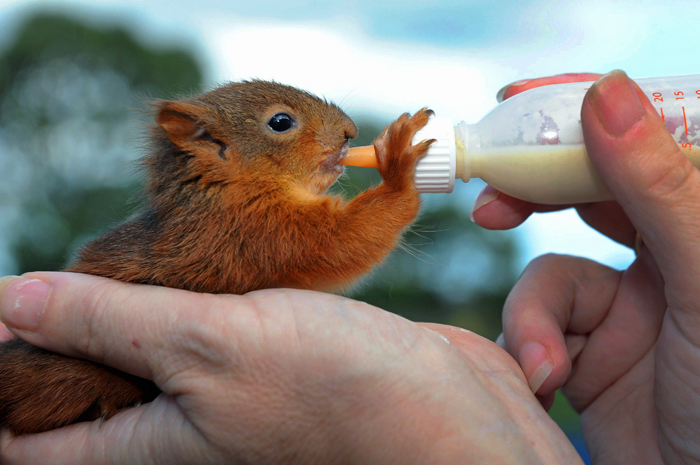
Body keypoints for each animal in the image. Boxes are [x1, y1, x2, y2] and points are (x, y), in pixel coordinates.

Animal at [0, 80, 434, 436]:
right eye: (280, 122)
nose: (351, 132)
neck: (227, 189)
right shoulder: (256, 233)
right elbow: (340, 240)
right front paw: (399, 165)